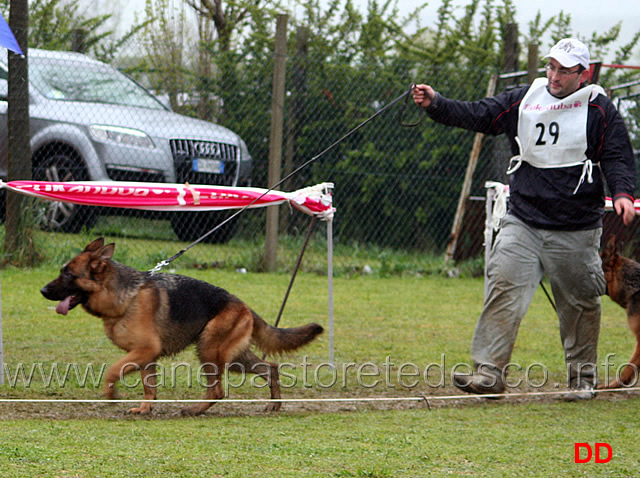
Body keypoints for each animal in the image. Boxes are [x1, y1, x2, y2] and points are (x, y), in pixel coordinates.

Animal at [40, 238, 322, 414]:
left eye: (68, 275)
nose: (42, 291)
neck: (123, 297)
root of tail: (243, 305)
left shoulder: (144, 351)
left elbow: (112, 371)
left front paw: (111, 394)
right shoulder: (145, 356)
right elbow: (149, 386)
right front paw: (145, 408)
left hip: (209, 351)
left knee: (218, 390)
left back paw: (194, 410)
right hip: (235, 358)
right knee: (270, 368)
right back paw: (275, 404)